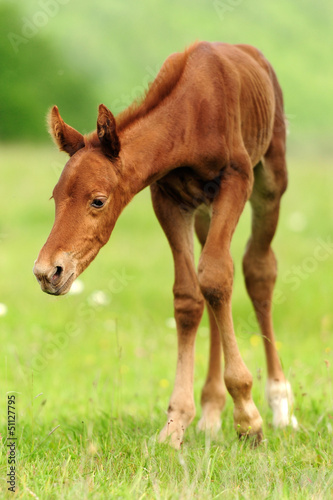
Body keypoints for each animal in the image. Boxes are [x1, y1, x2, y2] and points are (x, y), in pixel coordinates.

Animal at [33, 44, 296, 450]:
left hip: (269, 181)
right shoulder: (169, 198)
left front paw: (248, 419)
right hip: (204, 213)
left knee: (257, 269)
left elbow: (217, 277)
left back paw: (280, 404)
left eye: (98, 201)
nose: (48, 272)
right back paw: (211, 411)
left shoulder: (237, 180)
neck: (191, 115)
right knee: (213, 280)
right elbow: (190, 295)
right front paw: (176, 423)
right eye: (56, 197)